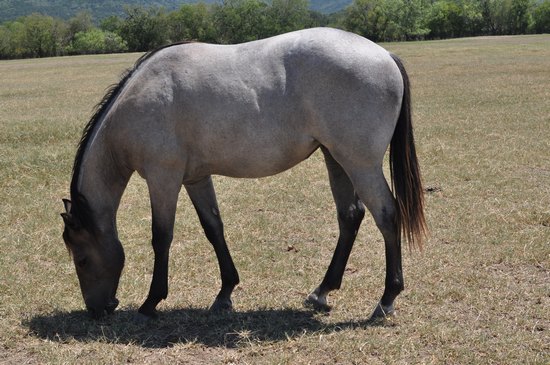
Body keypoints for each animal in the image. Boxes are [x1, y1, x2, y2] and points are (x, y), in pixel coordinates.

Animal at [62, 27, 430, 318]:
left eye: (81, 259)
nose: (98, 310)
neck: (139, 101)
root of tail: (384, 54)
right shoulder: (195, 178)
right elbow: (213, 228)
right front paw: (225, 293)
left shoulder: (162, 178)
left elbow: (161, 237)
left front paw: (152, 301)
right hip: (336, 159)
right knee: (350, 216)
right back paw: (322, 291)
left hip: (360, 163)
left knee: (387, 215)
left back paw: (386, 299)